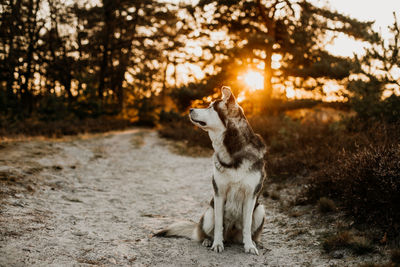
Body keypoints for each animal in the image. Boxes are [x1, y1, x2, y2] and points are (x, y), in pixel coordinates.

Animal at [155, 86, 268, 255]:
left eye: (210, 107)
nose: (190, 109)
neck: (232, 149)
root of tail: (231, 236)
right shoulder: (219, 194)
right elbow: (219, 225)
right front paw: (217, 244)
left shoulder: (251, 195)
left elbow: (247, 226)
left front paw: (249, 246)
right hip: (209, 212)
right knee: (206, 232)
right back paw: (208, 240)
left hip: (260, 209)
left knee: (246, 231)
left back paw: (254, 242)